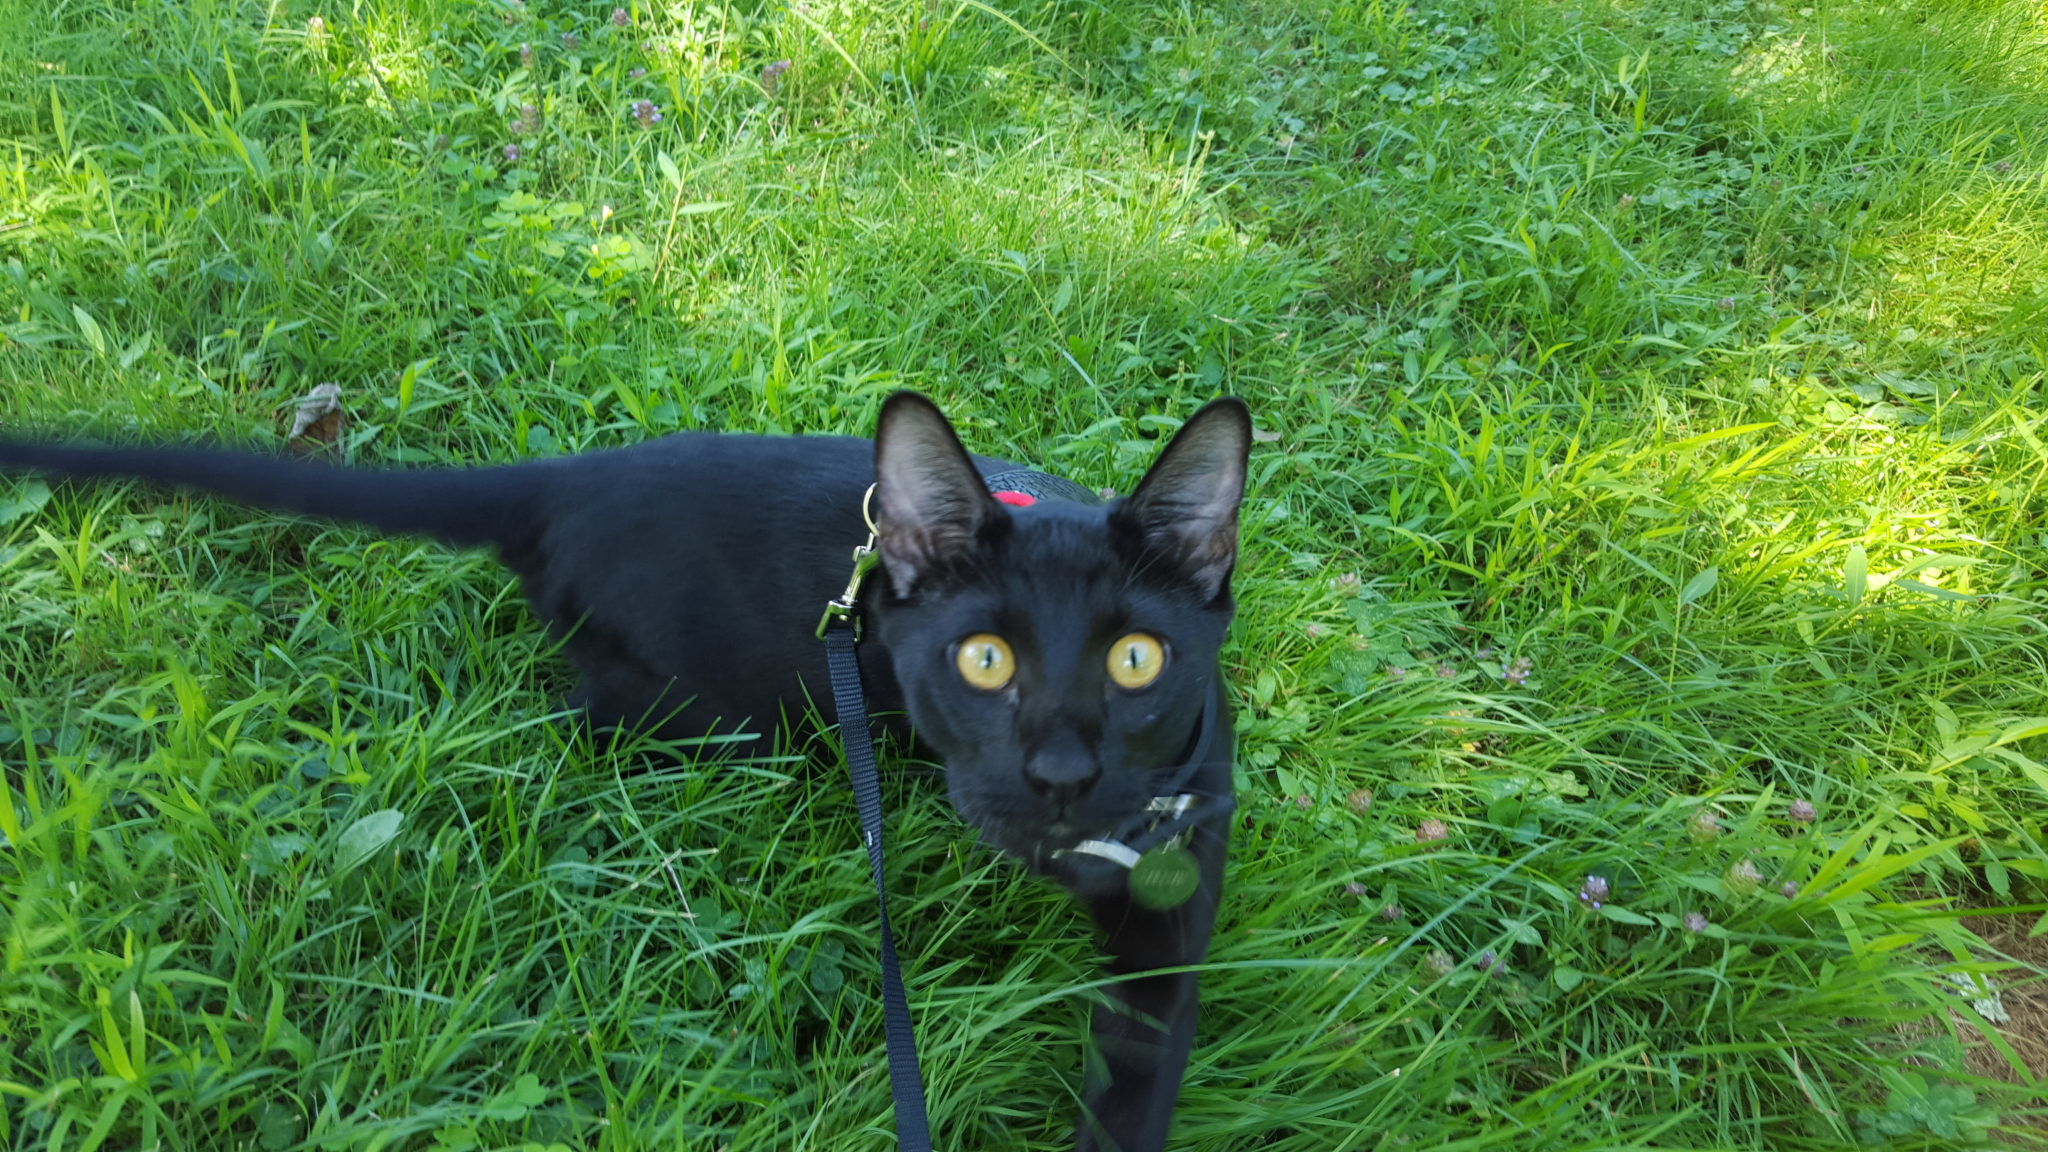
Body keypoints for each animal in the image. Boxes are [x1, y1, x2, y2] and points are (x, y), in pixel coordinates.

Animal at [0, 389, 1245, 1139]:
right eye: (982, 660)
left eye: (1136, 659)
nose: (1059, 773)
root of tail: (573, 475)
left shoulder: (1175, 885)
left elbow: (1139, 1073)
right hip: (706, 711)